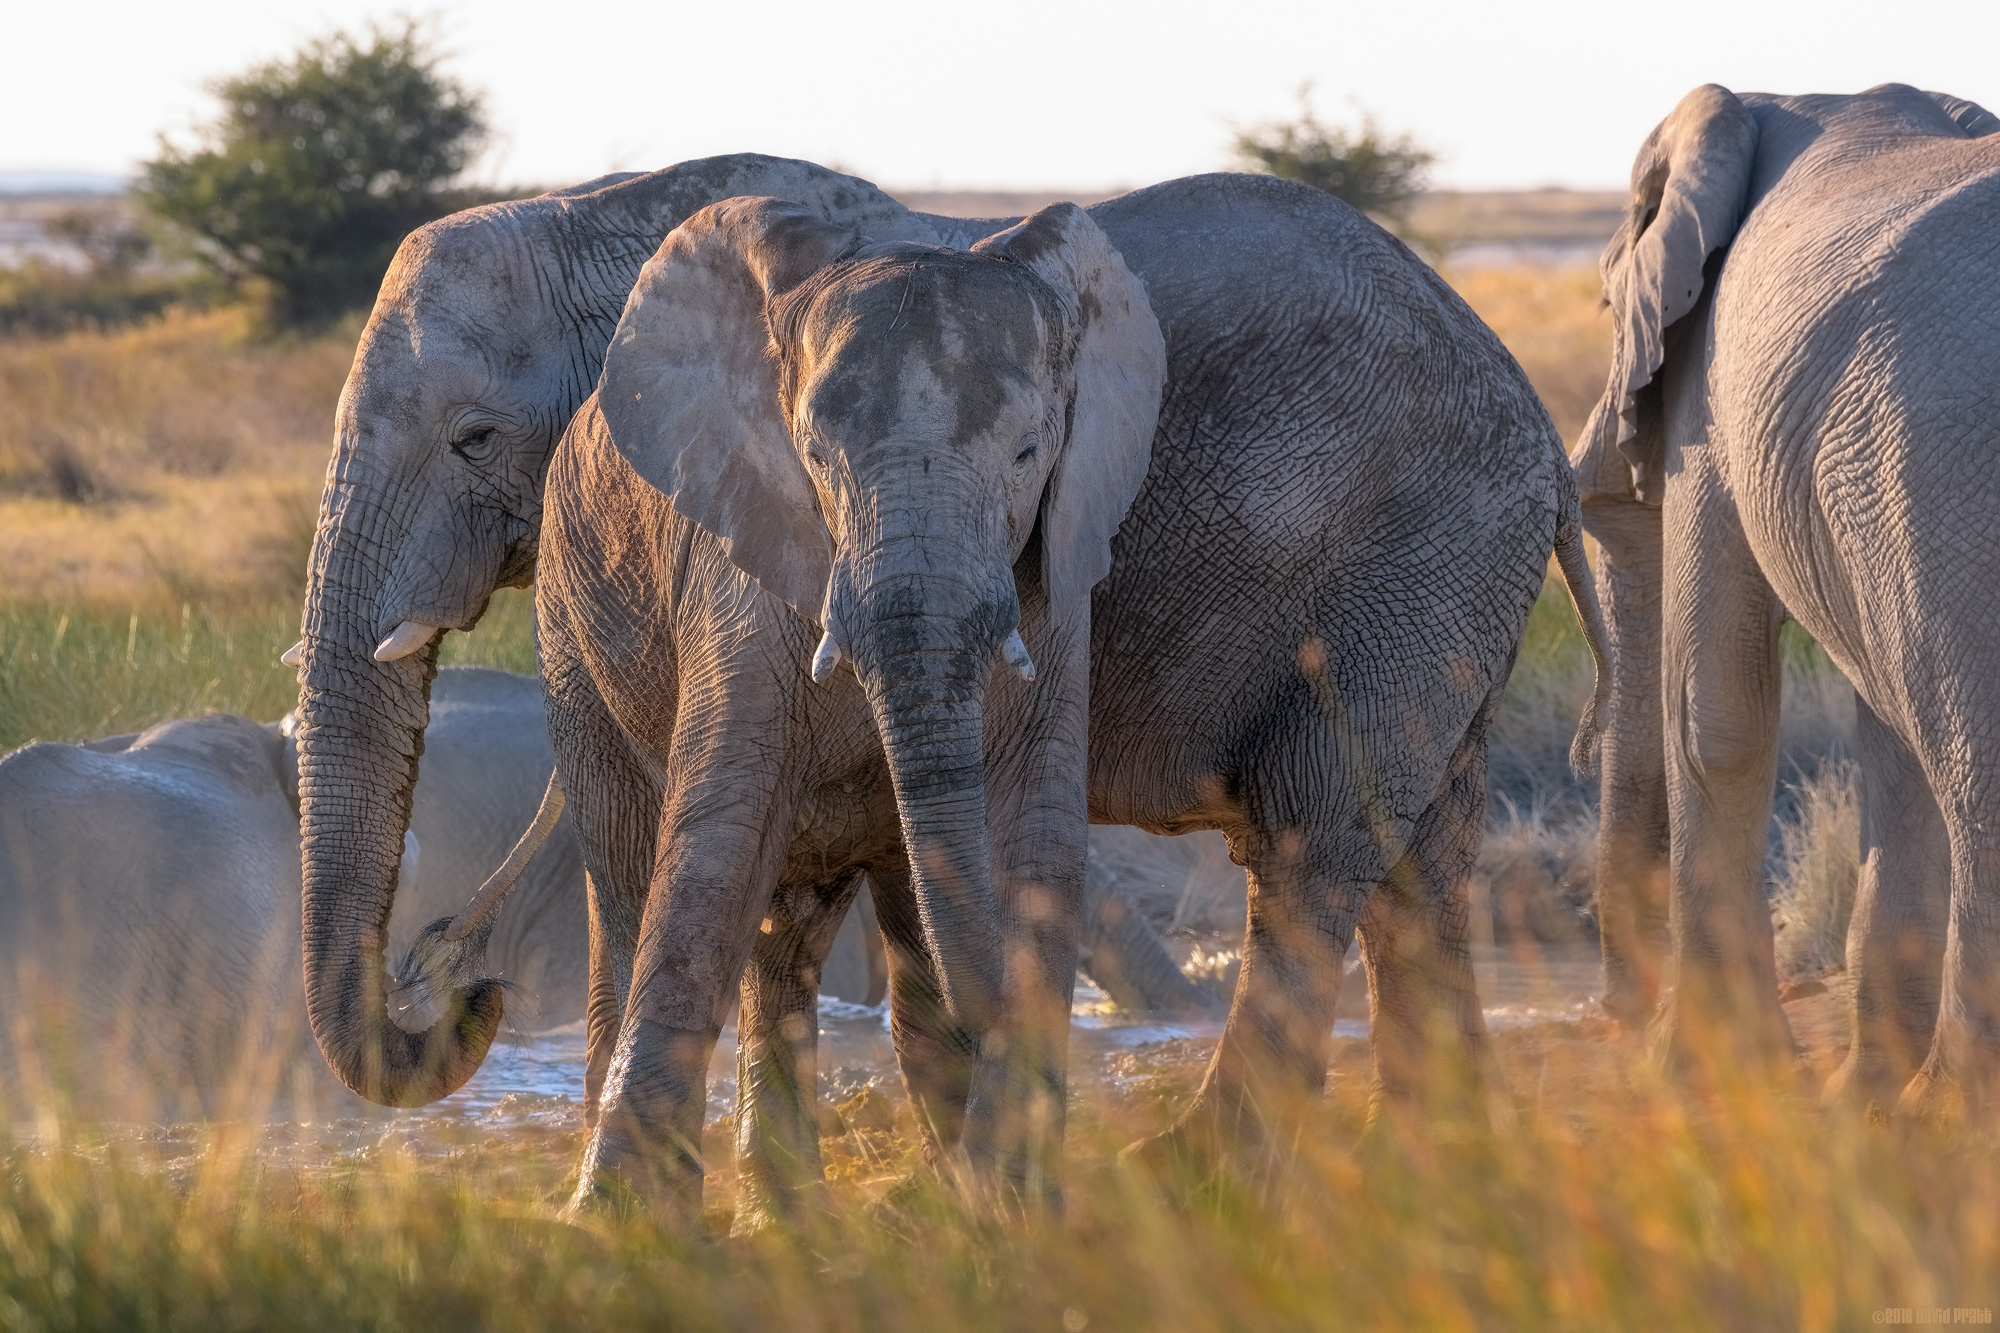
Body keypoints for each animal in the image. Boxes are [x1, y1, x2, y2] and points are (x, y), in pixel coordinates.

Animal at [288, 157, 1605, 1215]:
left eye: (470, 438)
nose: (459, 983)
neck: (590, 211)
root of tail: (1537, 419)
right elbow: (789, 869)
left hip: (1415, 557)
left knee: (1309, 843)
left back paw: (1190, 1176)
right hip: (1445, 589)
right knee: (1418, 860)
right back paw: (1431, 1180)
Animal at [1574, 82, 2000, 1114]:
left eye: (1605, 300)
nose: (1608, 1021)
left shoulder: (1714, 404)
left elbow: (1711, 717)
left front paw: (1703, 1080)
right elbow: (1890, 733)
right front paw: (1858, 1104)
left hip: (1943, 453)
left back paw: (1948, 1115)